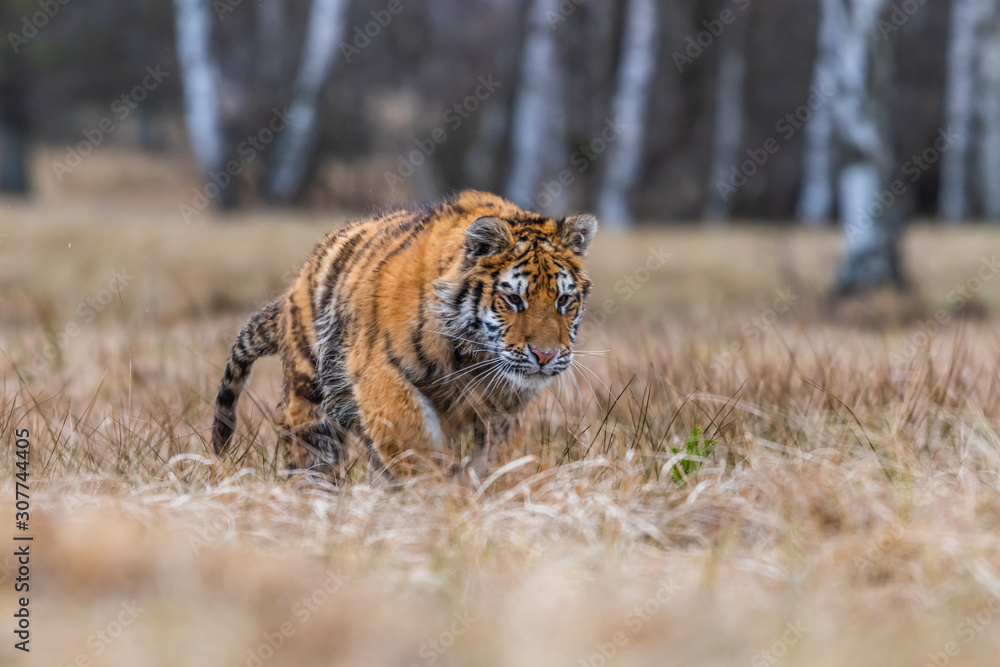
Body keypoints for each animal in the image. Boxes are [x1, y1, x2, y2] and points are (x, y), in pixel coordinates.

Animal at [211, 190, 597, 481]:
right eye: (514, 299)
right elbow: (413, 441)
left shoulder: (508, 405)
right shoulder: (379, 374)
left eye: (564, 300)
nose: (545, 355)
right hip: (309, 398)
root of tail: (297, 283)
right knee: (311, 463)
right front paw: (432, 494)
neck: (472, 358)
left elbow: (500, 459)